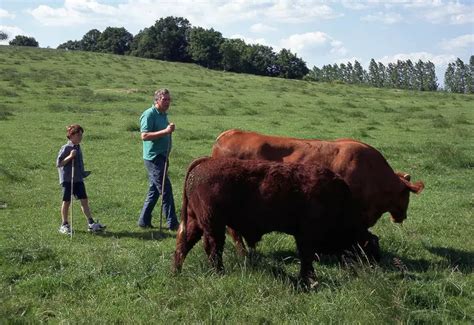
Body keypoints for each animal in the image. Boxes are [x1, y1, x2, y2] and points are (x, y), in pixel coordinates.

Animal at [172, 157, 376, 286]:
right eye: (370, 247)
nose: (373, 266)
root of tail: (204, 162)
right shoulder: (306, 236)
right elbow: (307, 257)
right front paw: (309, 280)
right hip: (213, 224)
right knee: (212, 247)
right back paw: (219, 273)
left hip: (197, 222)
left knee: (184, 243)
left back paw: (176, 272)